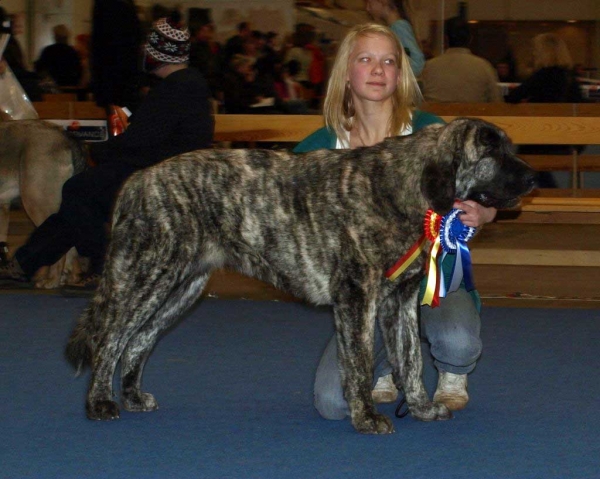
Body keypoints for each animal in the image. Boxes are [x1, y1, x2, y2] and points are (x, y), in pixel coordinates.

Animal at [65, 117, 536, 436]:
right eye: (490, 152)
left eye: (508, 147)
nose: (533, 177)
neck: (399, 188)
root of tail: (137, 179)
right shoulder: (356, 297)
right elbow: (358, 364)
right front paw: (366, 416)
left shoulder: (399, 301)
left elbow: (411, 362)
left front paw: (420, 407)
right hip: (144, 276)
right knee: (112, 340)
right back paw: (100, 402)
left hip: (182, 287)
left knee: (138, 341)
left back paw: (131, 396)